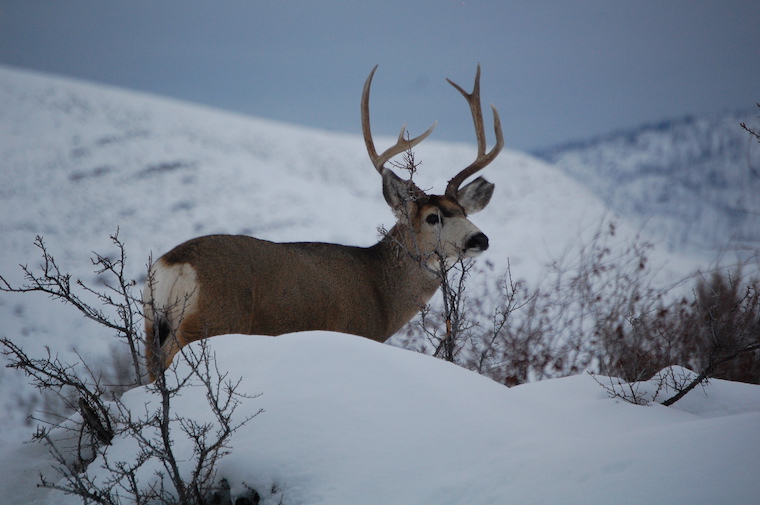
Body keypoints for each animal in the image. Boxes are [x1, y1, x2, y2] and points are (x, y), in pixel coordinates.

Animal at [143, 64, 504, 377]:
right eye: (432, 217)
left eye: (463, 212)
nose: (480, 239)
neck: (381, 292)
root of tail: (174, 263)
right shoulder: (354, 330)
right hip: (211, 321)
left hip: (151, 331)